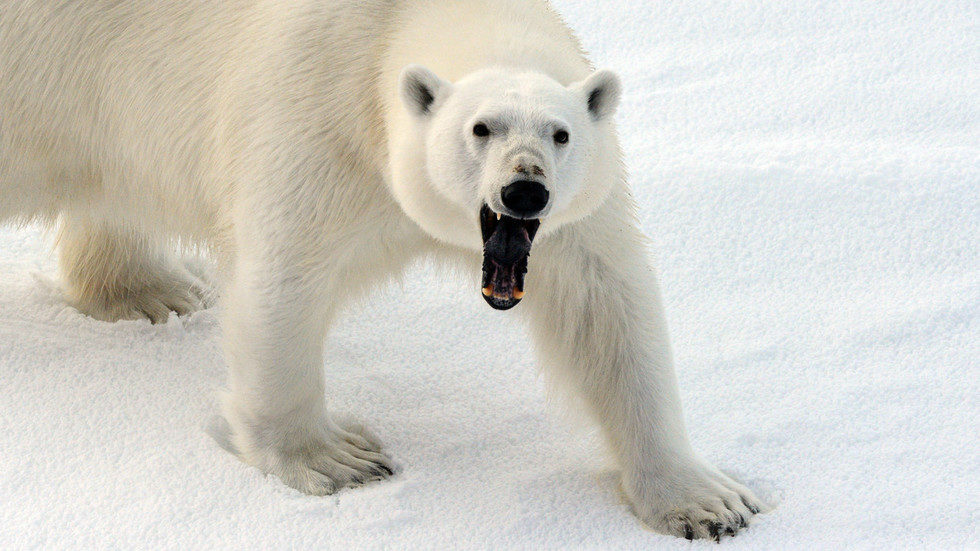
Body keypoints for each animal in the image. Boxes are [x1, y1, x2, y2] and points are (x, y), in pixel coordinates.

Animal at [0, 0, 765, 540]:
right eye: (479, 128)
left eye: (561, 133)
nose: (524, 190)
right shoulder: (314, 121)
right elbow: (283, 284)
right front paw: (336, 460)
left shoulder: (573, 219)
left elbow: (606, 306)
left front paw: (707, 501)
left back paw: (151, 290)